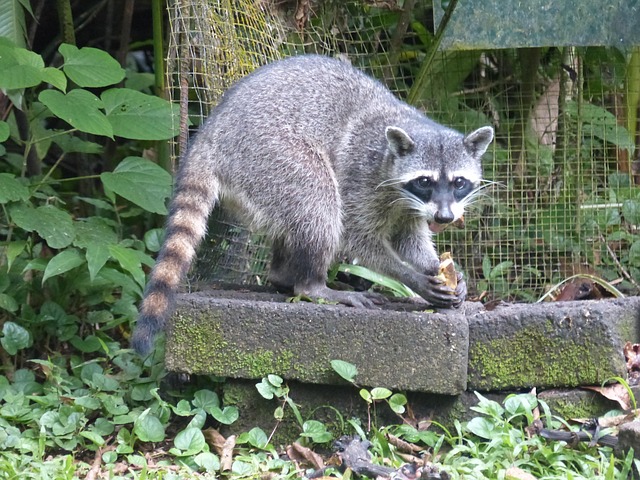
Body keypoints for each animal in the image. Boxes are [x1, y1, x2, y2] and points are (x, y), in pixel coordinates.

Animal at [132, 55, 493, 355]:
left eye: (459, 183)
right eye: (425, 181)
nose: (445, 218)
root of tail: (210, 134)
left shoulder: (411, 206)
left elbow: (409, 238)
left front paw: (436, 267)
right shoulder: (361, 175)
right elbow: (357, 237)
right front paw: (410, 276)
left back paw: (283, 275)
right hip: (270, 152)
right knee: (318, 201)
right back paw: (313, 285)